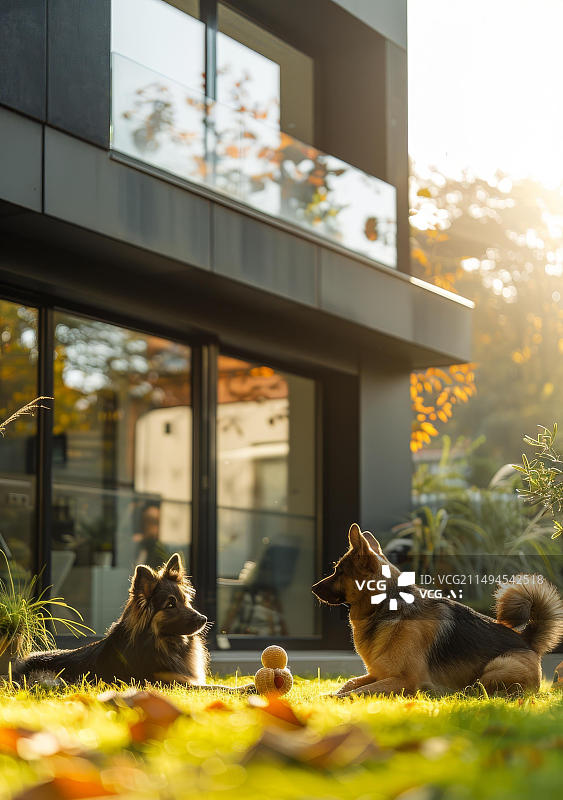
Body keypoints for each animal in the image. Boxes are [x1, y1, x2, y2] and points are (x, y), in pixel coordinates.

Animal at [13, 552, 251, 692]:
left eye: (186, 601)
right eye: (170, 604)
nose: (204, 619)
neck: (160, 642)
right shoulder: (171, 684)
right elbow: (217, 687)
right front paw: (246, 687)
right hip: (50, 679)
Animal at [312, 524, 563, 692]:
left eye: (338, 571)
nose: (313, 588)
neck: (387, 605)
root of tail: (526, 640)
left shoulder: (404, 680)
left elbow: (358, 692)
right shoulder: (377, 674)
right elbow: (350, 683)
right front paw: (328, 695)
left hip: (497, 667)